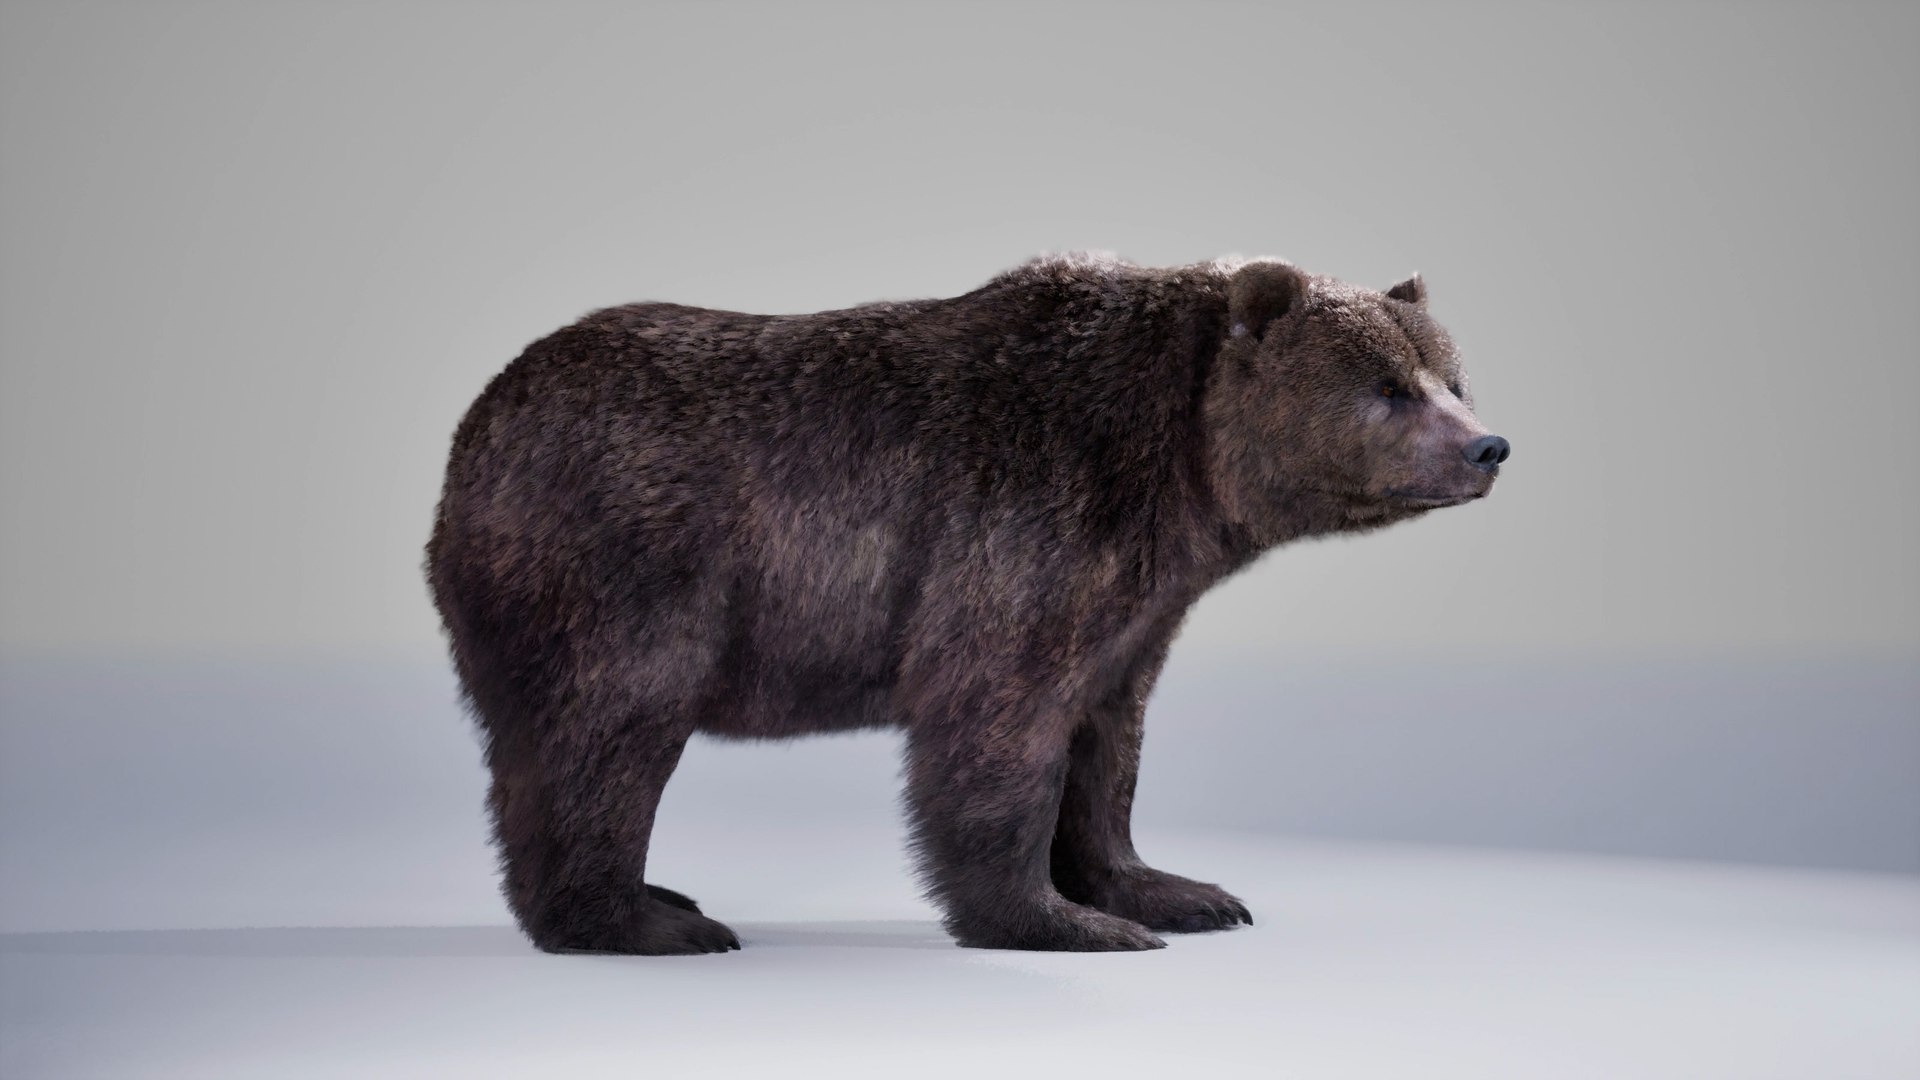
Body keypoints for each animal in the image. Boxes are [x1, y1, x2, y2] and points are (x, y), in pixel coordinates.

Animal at [425, 253, 1510, 955]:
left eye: (1454, 377)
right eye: (1387, 387)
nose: (1488, 447)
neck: (1181, 469)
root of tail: (480, 418)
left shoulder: (1140, 600)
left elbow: (1107, 739)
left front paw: (1176, 892)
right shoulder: (1023, 525)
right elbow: (1000, 720)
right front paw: (1063, 921)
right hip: (621, 561)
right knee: (606, 729)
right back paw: (647, 921)